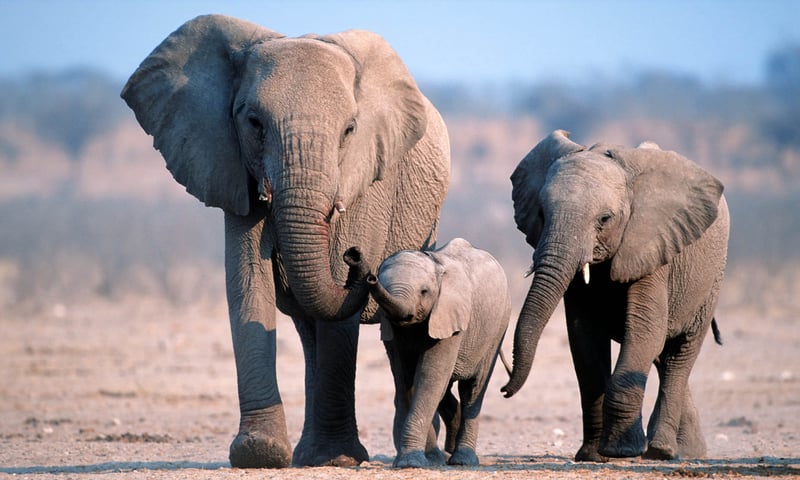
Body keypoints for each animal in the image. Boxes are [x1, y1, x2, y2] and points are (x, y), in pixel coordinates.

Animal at [120, 14, 450, 468]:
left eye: (350, 130)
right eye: (254, 123)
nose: (358, 260)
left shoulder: (367, 178)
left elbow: (334, 310)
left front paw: (337, 460)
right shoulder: (232, 166)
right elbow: (246, 281)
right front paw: (259, 453)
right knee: (308, 332)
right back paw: (307, 454)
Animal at [366, 238, 511, 467]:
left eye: (424, 291)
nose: (369, 278)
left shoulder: (450, 317)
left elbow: (429, 376)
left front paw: (411, 462)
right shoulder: (392, 330)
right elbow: (406, 379)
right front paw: (428, 459)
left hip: (497, 328)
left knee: (472, 389)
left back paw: (462, 460)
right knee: (445, 388)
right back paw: (449, 449)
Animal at [501, 130, 729, 462]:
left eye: (604, 219)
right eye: (542, 214)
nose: (504, 389)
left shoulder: (651, 245)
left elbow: (644, 331)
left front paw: (621, 451)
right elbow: (585, 340)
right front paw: (592, 456)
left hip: (710, 281)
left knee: (679, 355)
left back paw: (662, 450)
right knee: (661, 355)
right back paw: (687, 451)